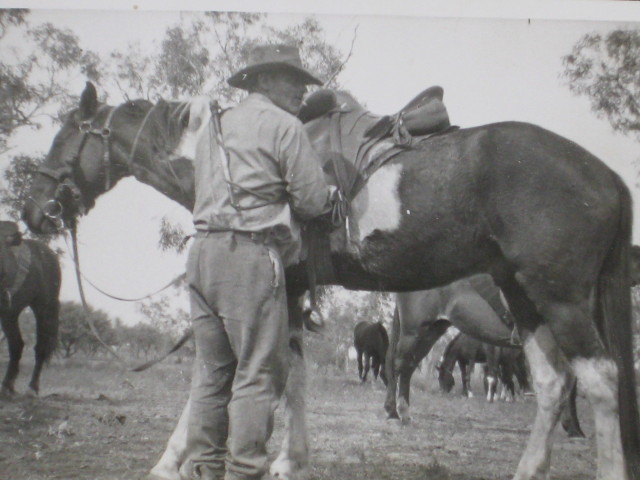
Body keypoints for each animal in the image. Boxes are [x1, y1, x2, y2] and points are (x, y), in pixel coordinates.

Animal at [0, 221, 60, 394]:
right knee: (17, 344)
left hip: (43, 309)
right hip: (11, 314)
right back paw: (8, 385)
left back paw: (32, 387)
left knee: (40, 348)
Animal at [21, 80, 640, 478]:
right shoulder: (292, 292)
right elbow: (292, 376)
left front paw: (169, 463)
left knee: (600, 378)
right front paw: (290, 460)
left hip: (560, 299)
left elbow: (223, 376)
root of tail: (606, 176)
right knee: (554, 383)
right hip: (523, 295)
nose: (33, 211)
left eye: (66, 136)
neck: (225, 157)